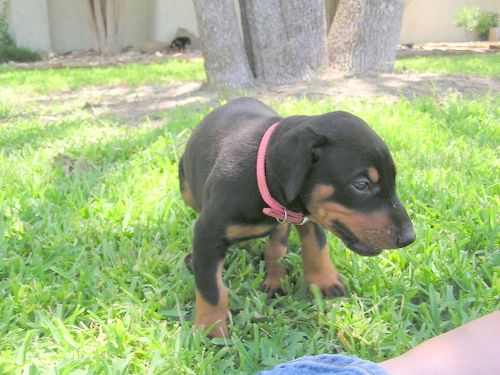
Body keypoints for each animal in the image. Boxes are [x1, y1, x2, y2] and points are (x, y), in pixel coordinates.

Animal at [178, 98, 416, 340]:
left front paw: (325, 281)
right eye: (361, 184)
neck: (261, 174)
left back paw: (275, 278)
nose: (409, 238)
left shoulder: (308, 213)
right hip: (186, 187)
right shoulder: (208, 233)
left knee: (277, 243)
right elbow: (212, 289)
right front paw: (210, 329)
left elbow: (315, 247)